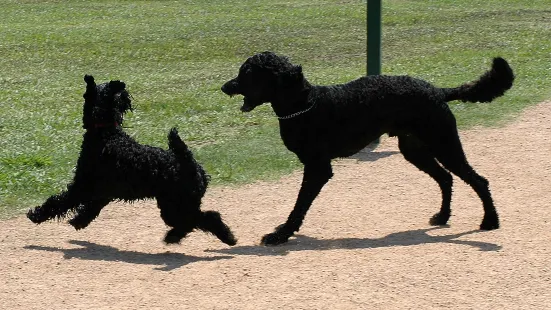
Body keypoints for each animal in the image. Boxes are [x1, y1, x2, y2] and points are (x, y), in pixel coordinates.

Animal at [27, 75, 237, 247]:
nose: (125, 94)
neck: (107, 133)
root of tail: (191, 164)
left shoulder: (82, 186)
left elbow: (59, 202)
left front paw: (36, 215)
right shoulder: (104, 192)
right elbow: (91, 208)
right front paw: (79, 222)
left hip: (174, 206)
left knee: (194, 220)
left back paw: (173, 237)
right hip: (178, 204)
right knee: (207, 217)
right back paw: (228, 238)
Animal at [222, 52, 516, 246]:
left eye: (247, 73)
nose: (225, 86)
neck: (305, 104)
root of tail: (437, 91)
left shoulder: (318, 168)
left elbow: (299, 206)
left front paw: (281, 234)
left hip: (444, 144)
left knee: (478, 180)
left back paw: (490, 221)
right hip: (416, 150)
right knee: (446, 178)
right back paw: (443, 216)